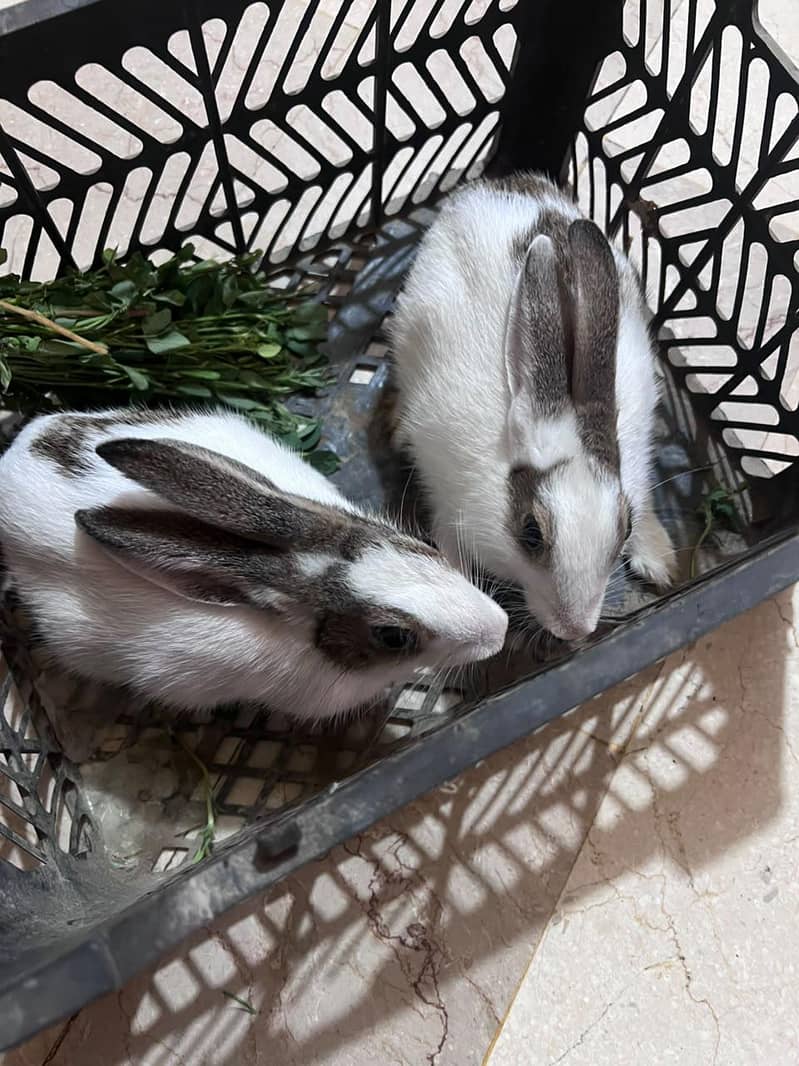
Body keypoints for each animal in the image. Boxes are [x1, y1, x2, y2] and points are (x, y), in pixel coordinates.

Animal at [389, 172, 675, 643]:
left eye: (626, 527)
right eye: (531, 533)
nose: (575, 629)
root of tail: (499, 181)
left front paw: (659, 561)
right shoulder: (448, 509)